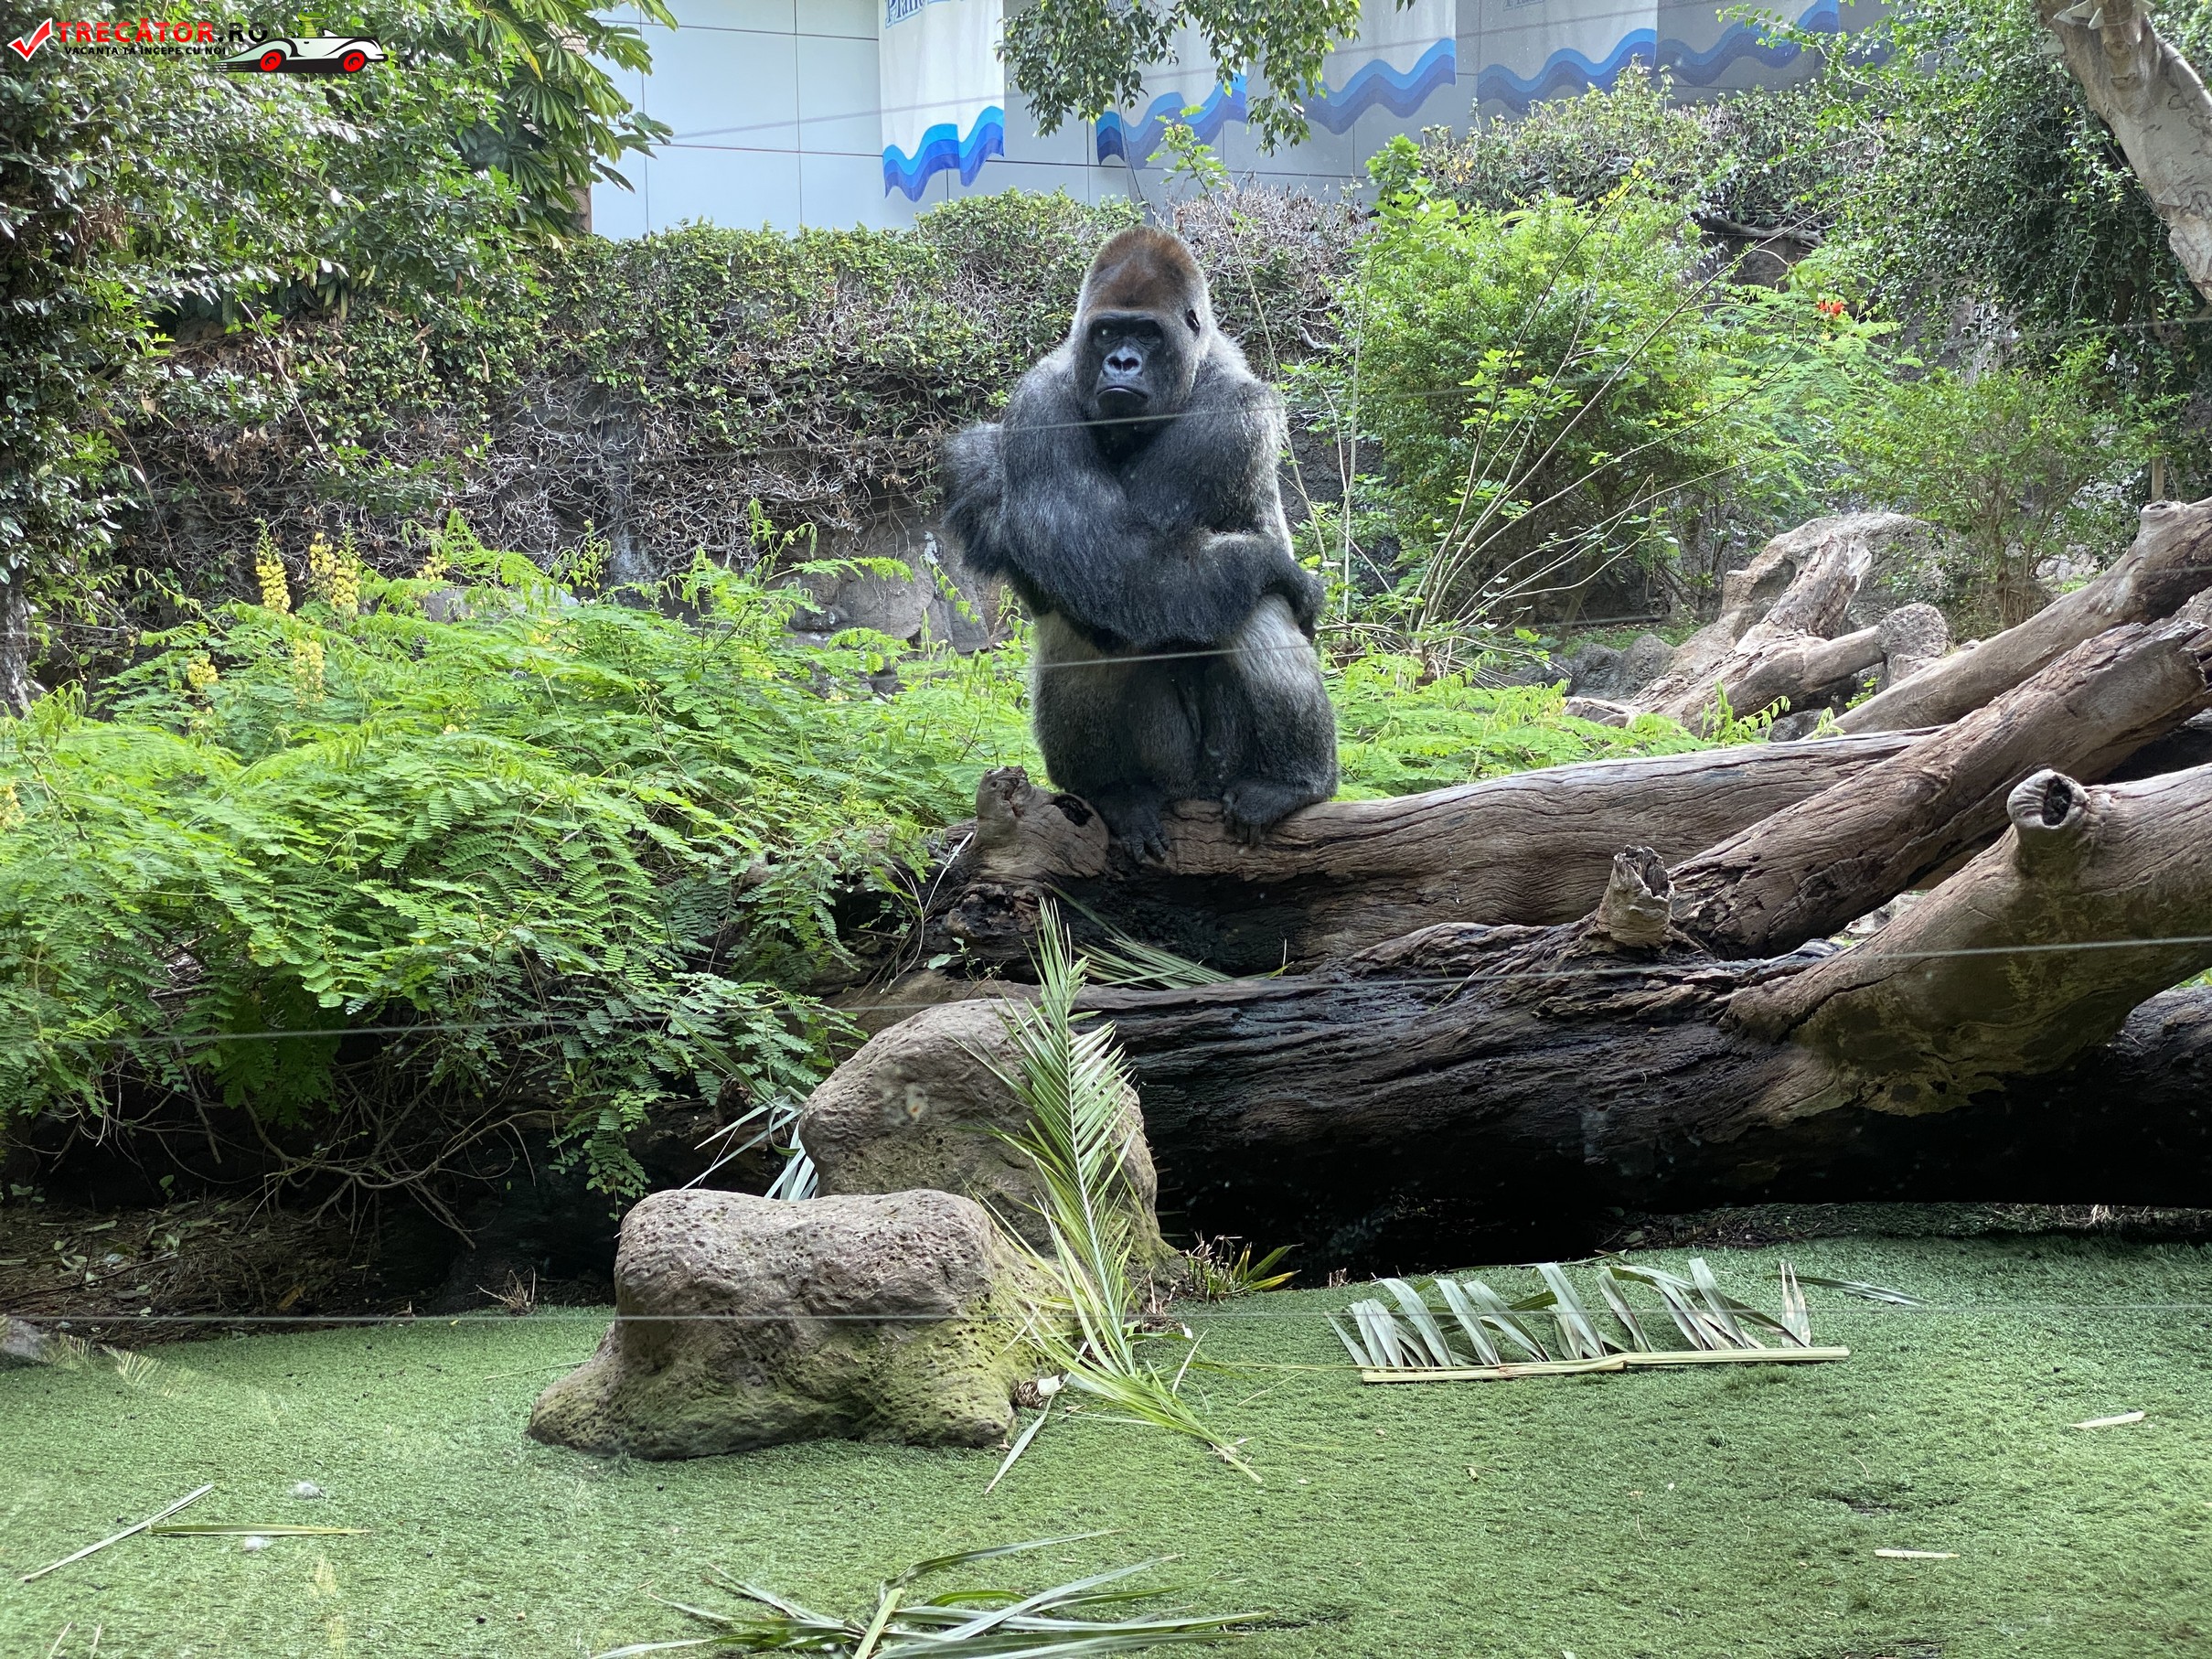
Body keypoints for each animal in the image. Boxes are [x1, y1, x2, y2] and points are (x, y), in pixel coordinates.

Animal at [940, 225, 1338, 859]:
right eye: (1107, 331)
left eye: (1146, 334)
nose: (1121, 362)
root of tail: (1194, 793)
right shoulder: (1039, 400)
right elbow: (1112, 558)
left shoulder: (1233, 411)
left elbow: (1144, 561)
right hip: (1168, 769)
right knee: (1097, 615)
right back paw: (1115, 790)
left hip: (1219, 770)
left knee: (1250, 606)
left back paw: (1294, 781)